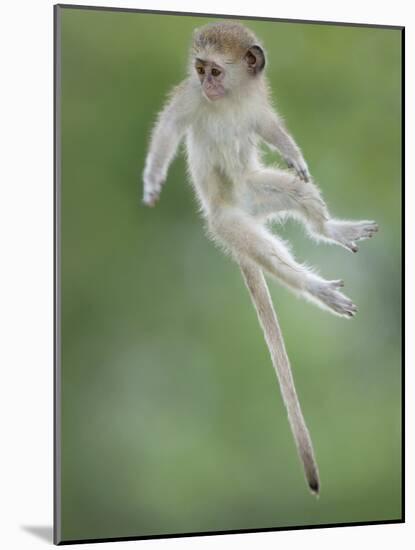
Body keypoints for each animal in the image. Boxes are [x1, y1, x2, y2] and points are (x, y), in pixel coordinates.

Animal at [142, 20, 376, 496]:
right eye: (201, 69)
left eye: (215, 70)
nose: (207, 84)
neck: (228, 99)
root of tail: (239, 209)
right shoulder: (189, 98)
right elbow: (170, 126)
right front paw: (153, 177)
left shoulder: (255, 106)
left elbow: (269, 127)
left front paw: (293, 152)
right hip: (229, 223)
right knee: (264, 250)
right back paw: (316, 287)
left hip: (257, 189)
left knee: (300, 192)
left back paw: (330, 230)